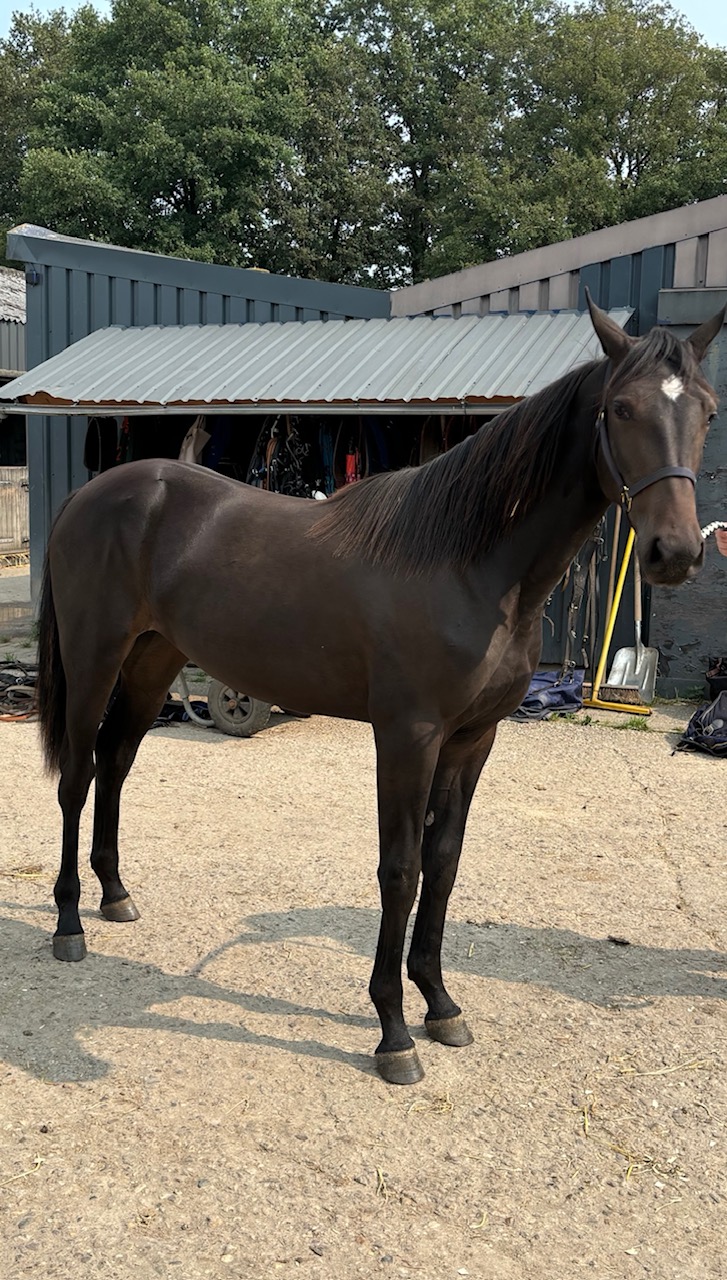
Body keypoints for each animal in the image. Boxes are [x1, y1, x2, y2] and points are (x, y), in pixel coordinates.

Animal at [34, 294, 724, 1084]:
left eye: (706, 410)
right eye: (620, 408)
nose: (674, 553)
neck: (469, 563)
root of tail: (94, 493)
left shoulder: (472, 739)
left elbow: (443, 863)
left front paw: (440, 1004)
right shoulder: (407, 737)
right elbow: (400, 869)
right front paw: (393, 1031)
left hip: (153, 661)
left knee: (116, 764)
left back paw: (115, 896)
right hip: (93, 659)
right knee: (78, 776)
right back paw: (69, 923)